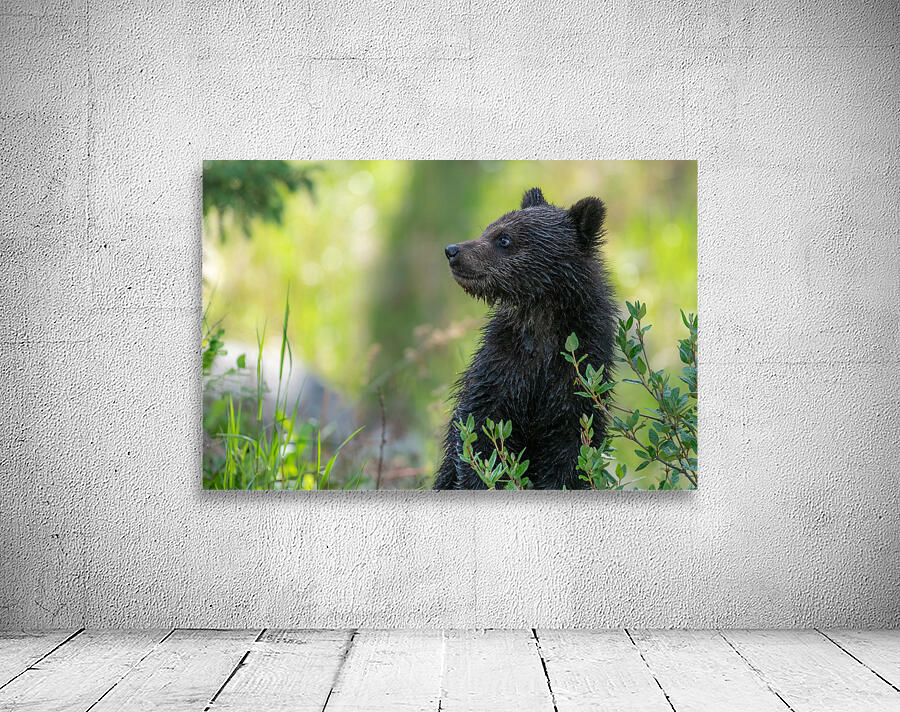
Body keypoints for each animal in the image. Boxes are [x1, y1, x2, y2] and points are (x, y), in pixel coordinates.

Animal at [433, 187, 617, 490]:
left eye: (504, 239)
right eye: (488, 228)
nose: (452, 251)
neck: (541, 320)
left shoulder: (579, 373)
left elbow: (571, 454)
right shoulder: (501, 366)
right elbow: (479, 434)